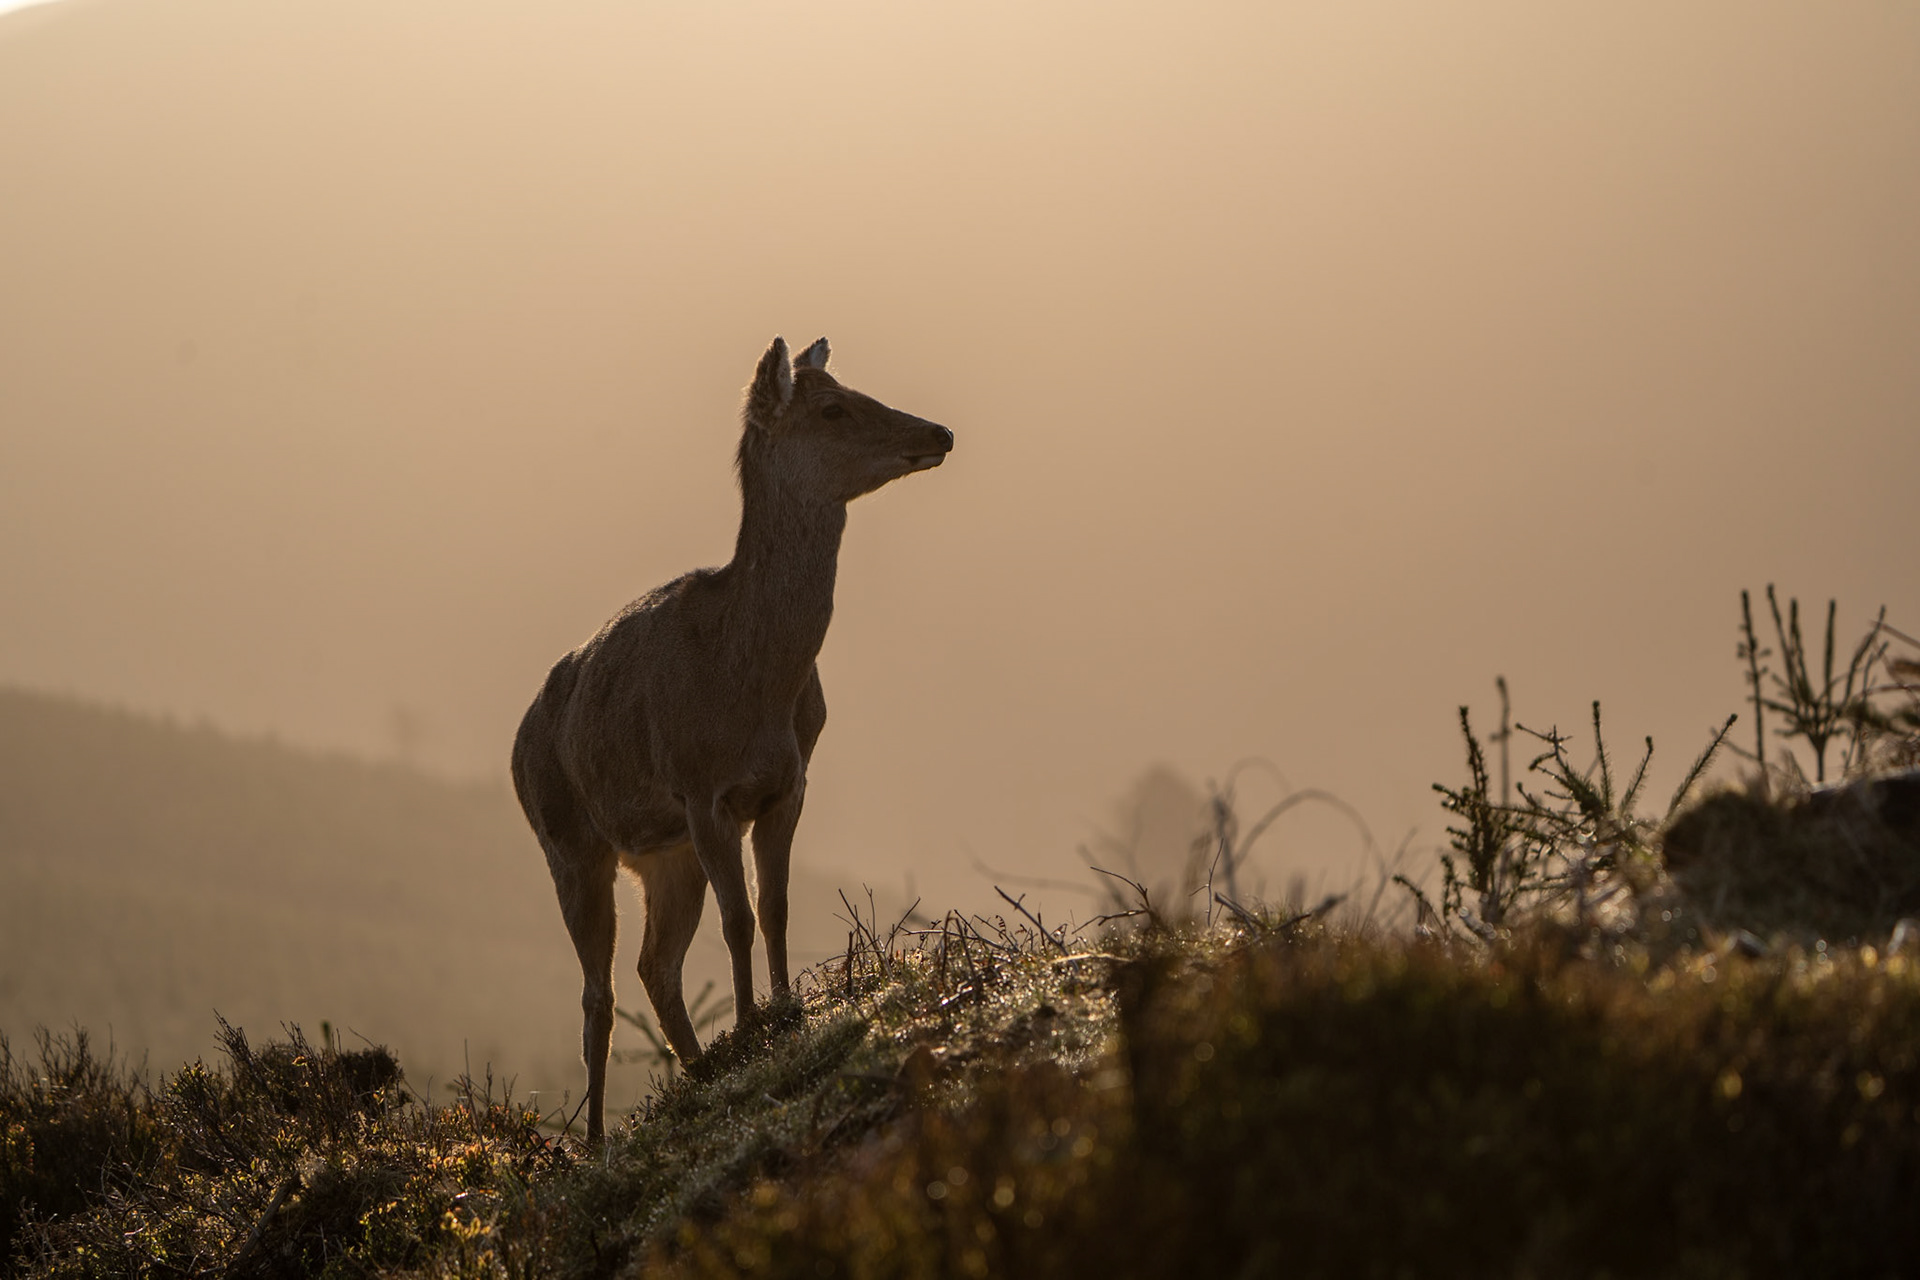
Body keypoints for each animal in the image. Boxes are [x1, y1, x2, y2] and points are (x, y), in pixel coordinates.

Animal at [510, 335, 953, 1144]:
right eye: (832, 407)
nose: (939, 432)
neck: (751, 687)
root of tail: (518, 741)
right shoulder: (701, 791)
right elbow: (739, 918)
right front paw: (751, 1027)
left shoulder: (789, 784)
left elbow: (773, 906)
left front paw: (783, 1013)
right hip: (568, 843)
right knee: (599, 993)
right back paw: (595, 1140)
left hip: (663, 855)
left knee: (654, 966)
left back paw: (695, 1071)